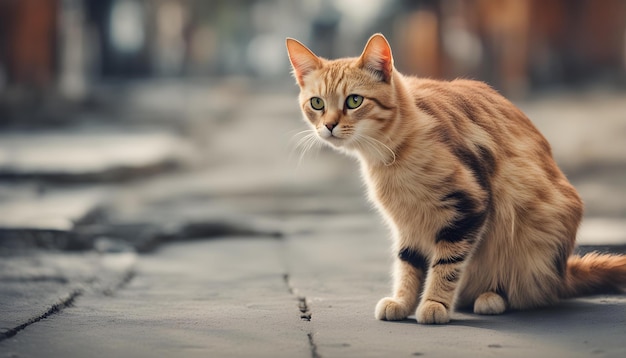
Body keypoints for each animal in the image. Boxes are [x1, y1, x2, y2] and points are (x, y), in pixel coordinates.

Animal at [284, 33, 624, 324]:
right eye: (317, 103)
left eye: (354, 101)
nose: (329, 126)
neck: (391, 156)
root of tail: (564, 272)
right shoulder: (408, 223)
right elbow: (408, 264)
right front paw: (404, 301)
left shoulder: (469, 204)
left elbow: (445, 264)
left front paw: (434, 303)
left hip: (531, 229)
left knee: (531, 292)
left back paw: (492, 298)